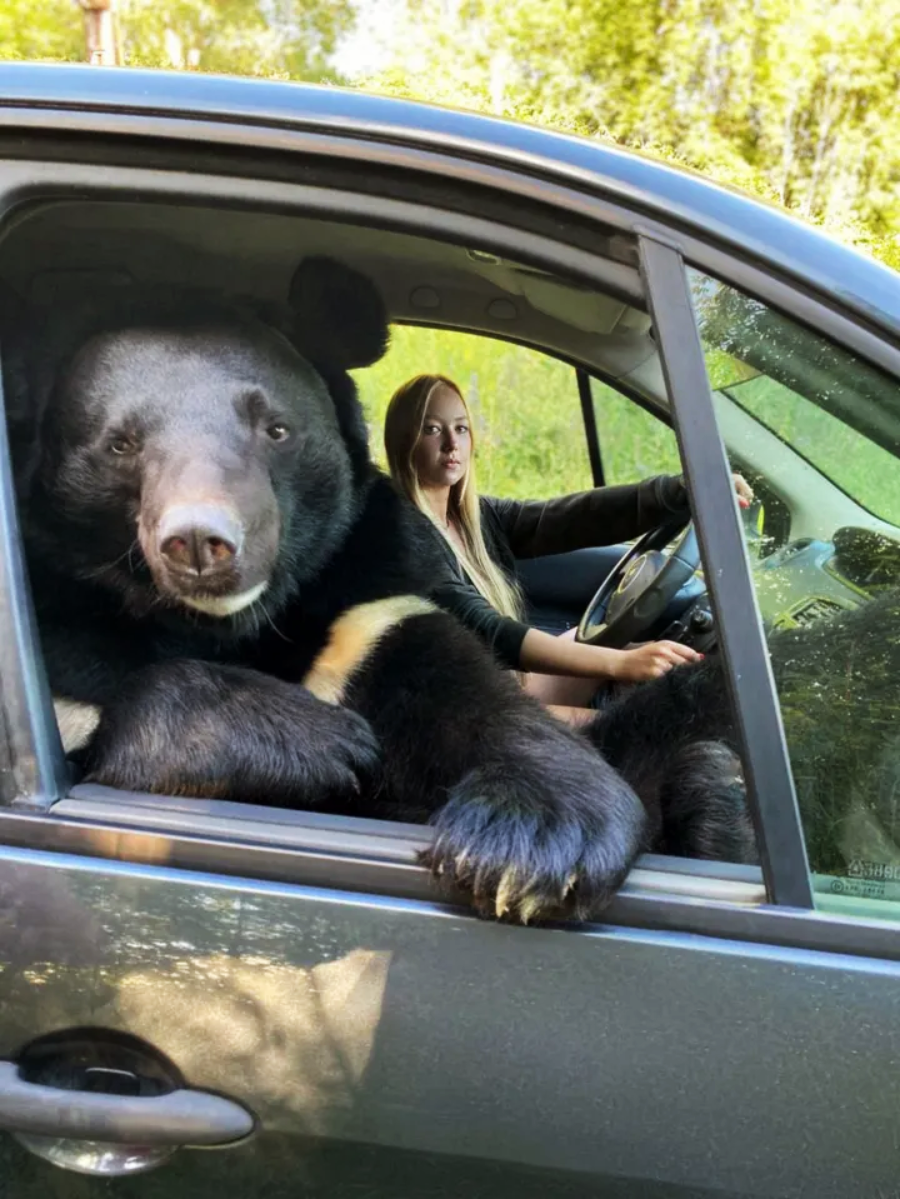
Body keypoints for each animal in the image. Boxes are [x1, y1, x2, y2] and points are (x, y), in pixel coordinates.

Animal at [6, 254, 726, 926]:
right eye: (120, 443)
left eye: (276, 428)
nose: (201, 542)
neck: (234, 626)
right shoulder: (61, 640)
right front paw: (324, 740)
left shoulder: (367, 599)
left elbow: (459, 689)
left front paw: (529, 842)